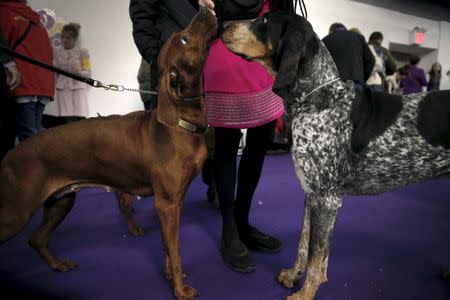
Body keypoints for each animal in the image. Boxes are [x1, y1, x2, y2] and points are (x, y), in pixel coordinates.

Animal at [0, 7, 218, 300]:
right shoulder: (167, 204)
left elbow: (167, 248)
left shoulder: (171, 205)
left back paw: (58, 264)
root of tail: (8, 155)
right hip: (16, 212)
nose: (205, 8)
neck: (181, 123)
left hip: (61, 201)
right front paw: (180, 290)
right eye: (183, 39)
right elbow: (176, 251)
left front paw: (171, 276)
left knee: (37, 239)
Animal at [221, 10, 450, 298]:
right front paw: (294, 276)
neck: (318, 97)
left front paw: (304, 293)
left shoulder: (326, 199)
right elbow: (306, 246)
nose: (222, 25)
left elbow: (315, 259)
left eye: (263, 21)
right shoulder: (313, 195)